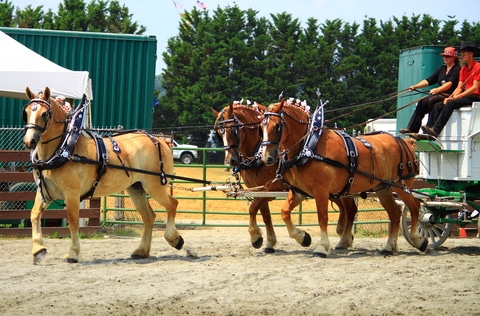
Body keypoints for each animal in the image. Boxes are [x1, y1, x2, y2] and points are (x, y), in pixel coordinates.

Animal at [22, 86, 184, 264]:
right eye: (26, 112)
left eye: (45, 114)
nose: (29, 141)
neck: (64, 147)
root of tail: (159, 141)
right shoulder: (45, 192)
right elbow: (34, 214)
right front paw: (38, 250)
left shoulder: (72, 193)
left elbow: (73, 222)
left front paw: (73, 253)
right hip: (137, 189)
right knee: (149, 217)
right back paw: (141, 251)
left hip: (154, 186)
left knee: (172, 205)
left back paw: (174, 239)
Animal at [212, 103, 358, 252]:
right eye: (219, 132)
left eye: (233, 130)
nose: (230, 160)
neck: (259, 152)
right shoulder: (258, 190)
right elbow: (265, 216)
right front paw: (269, 242)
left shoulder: (270, 189)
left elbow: (252, 208)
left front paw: (256, 236)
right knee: (345, 208)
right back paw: (343, 234)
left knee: (350, 209)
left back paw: (344, 238)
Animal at [258, 100, 428, 256]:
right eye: (261, 127)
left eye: (277, 126)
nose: (267, 158)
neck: (307, 147)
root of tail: (404, 141)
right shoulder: (299, 191)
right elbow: (285, 212)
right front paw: (303, 237)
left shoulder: (321, 191)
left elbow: (323, 217)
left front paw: (322, 247)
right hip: (383, 188)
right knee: (395, 214)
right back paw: (388, 247)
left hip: (401, 185)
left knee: (414, 207)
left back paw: (418, 239)